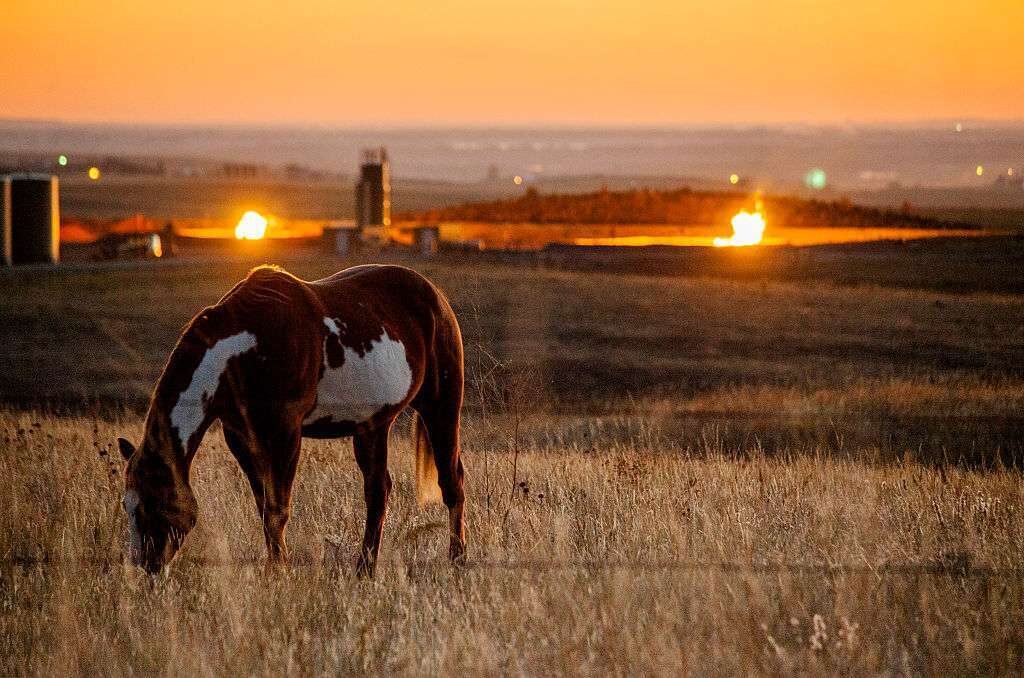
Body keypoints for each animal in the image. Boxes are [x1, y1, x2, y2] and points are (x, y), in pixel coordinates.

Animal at [116, 266, 464, 577]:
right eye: (126, 505)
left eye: (153, 504)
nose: (145, 566)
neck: (245, 349)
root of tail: (435, 294)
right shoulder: (240, 437)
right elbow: (263, 505)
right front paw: (276, 567)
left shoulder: (286, 433)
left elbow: (278, 509)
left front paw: (279, 574)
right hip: (372, 426)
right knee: (378, 491)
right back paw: (365, 570)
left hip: (441, 406)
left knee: (451, 482)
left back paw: (457, 562)